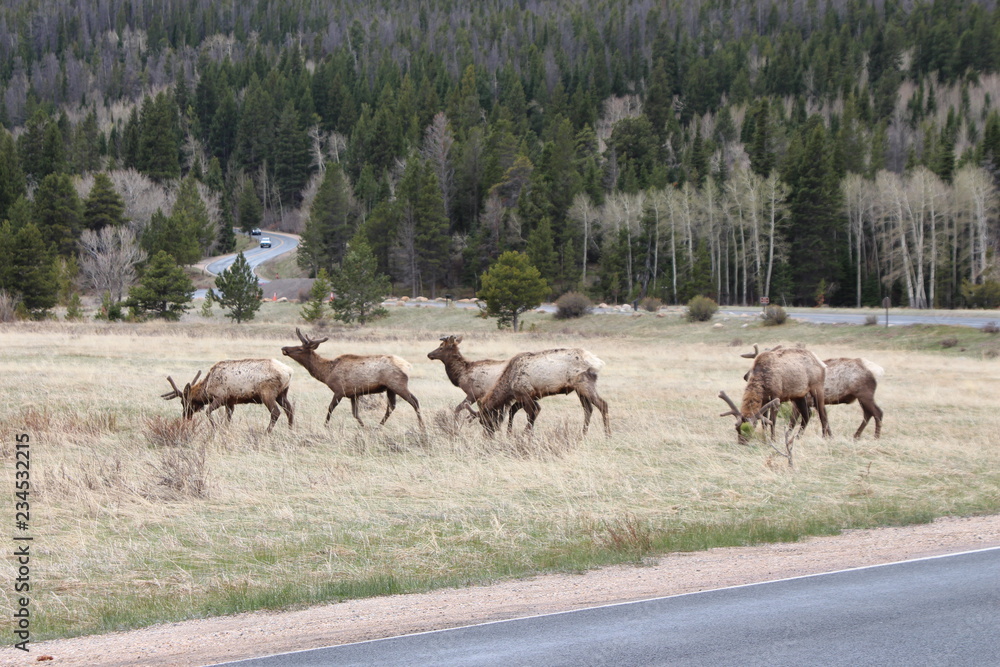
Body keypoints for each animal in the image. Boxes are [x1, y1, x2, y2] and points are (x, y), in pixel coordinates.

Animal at [161, 359, 294, 433]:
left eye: (183, 401)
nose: (185, 416)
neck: (207, 387)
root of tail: (289, 372)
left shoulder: (220, 397)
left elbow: (208, 412)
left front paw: (215, 429)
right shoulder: (230, 402)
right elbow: (228, 418)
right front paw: (225, 430)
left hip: (267, 393)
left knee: (276, 412)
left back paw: (266, 432)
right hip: (282, 394)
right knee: (290, 409)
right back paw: (290, 430)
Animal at [281, 328, 424, 429]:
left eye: (299, 349)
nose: (284, 348)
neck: (326, 373)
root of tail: (407, 366)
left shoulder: (339, 390)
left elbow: (330, 408)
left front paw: (325, 425)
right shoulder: (353, 394)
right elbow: (355, 413)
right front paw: (364, 426)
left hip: (398, 384)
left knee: (414, 401)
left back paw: (421, 425)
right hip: (391, 388)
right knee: (392, 406)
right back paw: (378, 426)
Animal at [477, 348, 610, 436]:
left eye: (483, 420)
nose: (486, 436)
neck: (509, 386)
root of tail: (596, 361)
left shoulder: (525, 393)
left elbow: (532, 413)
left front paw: (525, 434)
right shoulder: (527, 396)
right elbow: (513, 410)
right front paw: (510, 433)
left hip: (584, 385)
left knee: (603, 404)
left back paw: (607, 434)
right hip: (579, 390)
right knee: (588, 409)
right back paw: (583, 433)